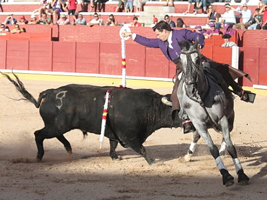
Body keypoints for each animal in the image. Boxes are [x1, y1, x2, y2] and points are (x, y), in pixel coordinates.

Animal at [1, 72, 182, 165]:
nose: (188, 124)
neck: (149, 107)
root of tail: (49, 92)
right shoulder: (129, 136)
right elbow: (142, 148)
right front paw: (153, 161)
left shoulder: (115, 133)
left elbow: (113, 145)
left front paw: (115, 157)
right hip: (57, 125)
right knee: (38, 134)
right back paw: (39, 156)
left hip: (56, 125)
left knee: (54, 135)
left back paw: (69, 150)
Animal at [178, 39, 251, 188]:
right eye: (180, 59)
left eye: (198, 58)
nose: (190, 86)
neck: (200, 96)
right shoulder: (199, 124)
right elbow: (212, 149)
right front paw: (226, 175)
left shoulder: (222, 119)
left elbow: (231, 147)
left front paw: (241, 174)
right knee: (196, 136)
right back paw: (188, 155)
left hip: (230, 118)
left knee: (226, 135)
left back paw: (223, 150)